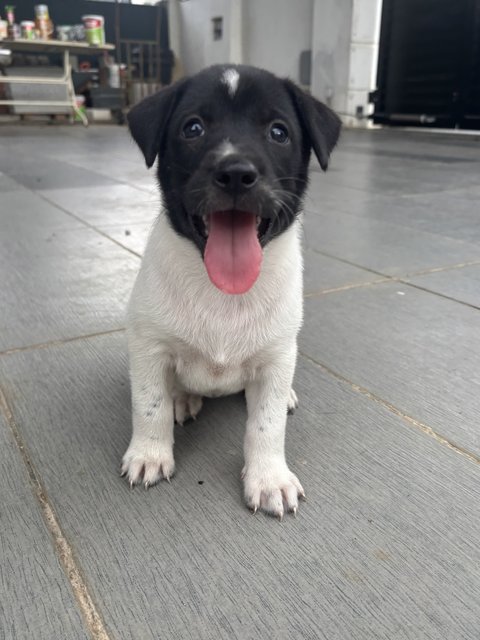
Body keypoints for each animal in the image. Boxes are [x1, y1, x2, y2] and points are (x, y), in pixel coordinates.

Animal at [124, 62, 342, 516]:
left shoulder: (276, 356)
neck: (222, 292)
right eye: (193, 128)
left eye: (278, 132)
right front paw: (150, 453)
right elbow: (149, 405)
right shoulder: (148, 346)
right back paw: (183, 398)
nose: (237, 173)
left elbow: (266, 424)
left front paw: (269, 477)